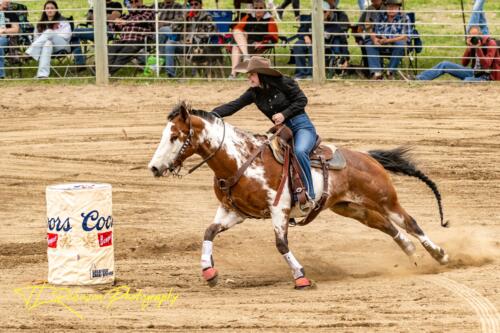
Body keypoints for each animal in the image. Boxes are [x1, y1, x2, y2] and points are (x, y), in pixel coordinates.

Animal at [148, 102, 450, 290]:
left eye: (175, 136)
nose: (154, 167)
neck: (241, 161)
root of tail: (366, 156)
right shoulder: (234, 211)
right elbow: (209, 232)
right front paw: (208, 272)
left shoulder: (278, 209)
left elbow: (281, 244)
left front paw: (301, 278)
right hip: (353, 208)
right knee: (389, 227)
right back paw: (411, 255)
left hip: (385, 198)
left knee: (410, 223)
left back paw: (440, 255)